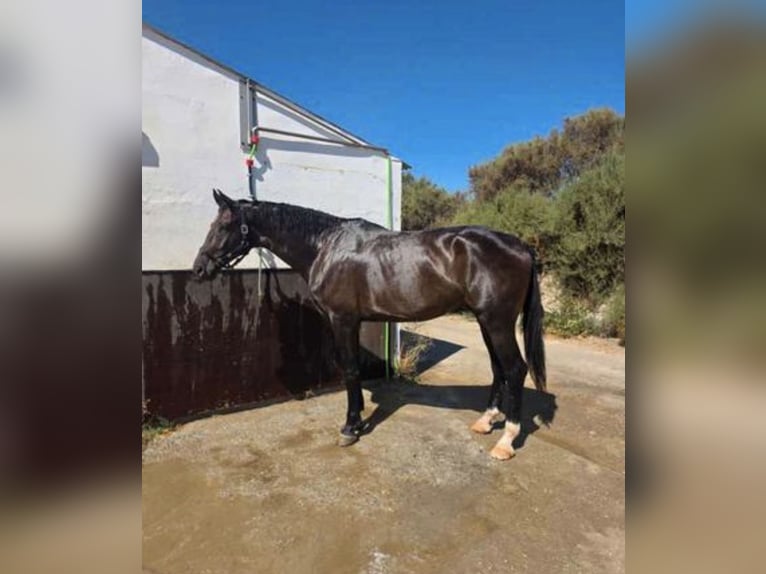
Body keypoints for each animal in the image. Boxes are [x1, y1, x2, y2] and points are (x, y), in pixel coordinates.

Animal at [193, 189, 546, 460]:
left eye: (224, 225)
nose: (199, 269)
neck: (325, 247)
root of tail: (521, 246)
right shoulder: (351, 322)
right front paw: (359, 420)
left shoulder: (343, 320)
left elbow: (350, 369)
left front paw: (350, 427)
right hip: (485, 320)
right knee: (498, 367)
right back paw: (486, 421)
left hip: (498, 321)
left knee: (515, 368)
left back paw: (506, 441)